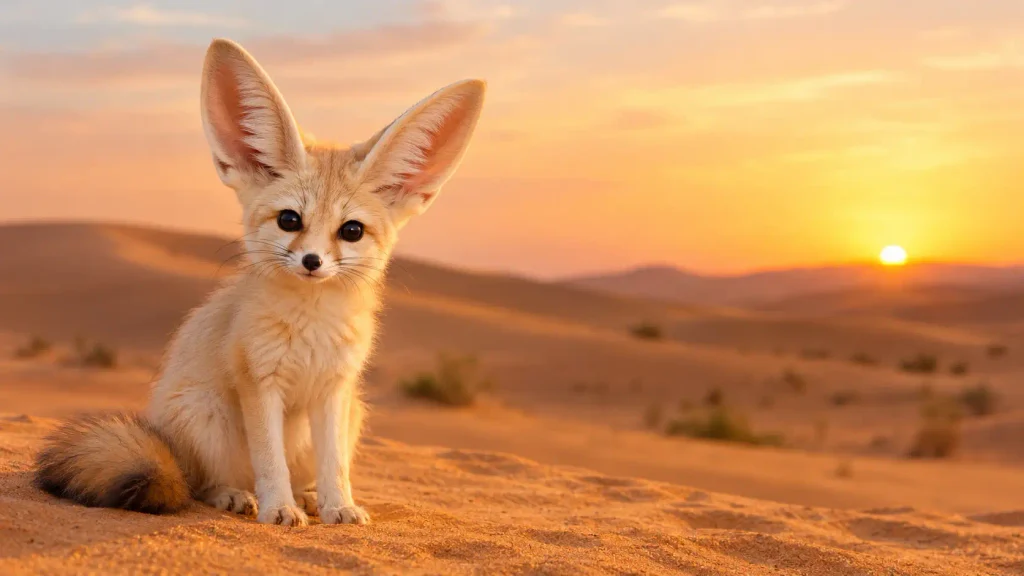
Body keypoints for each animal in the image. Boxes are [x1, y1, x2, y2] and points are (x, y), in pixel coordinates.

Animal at [33, 38, 485, 526]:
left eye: (352, 231)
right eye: (290, 220)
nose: (312, 261)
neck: (311, 327)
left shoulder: (334, 389)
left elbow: (335, 466)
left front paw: (339, 506)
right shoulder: (260, 381)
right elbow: (270, 461)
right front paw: (279, 509)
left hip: (352, 415)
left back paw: (309, 497)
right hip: (205, 414)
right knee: (202, 484)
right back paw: (236, 495)